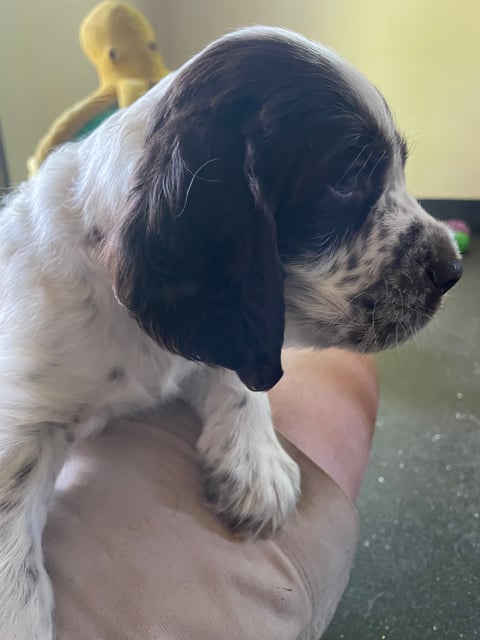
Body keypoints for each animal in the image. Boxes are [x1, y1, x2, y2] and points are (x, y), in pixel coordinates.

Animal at [0, 26, 462, 640]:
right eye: (346, 179)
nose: (453, 269)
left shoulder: (217, 332)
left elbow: (239, 369)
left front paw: (255, 463)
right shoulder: (25, 409)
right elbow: (13, 501)